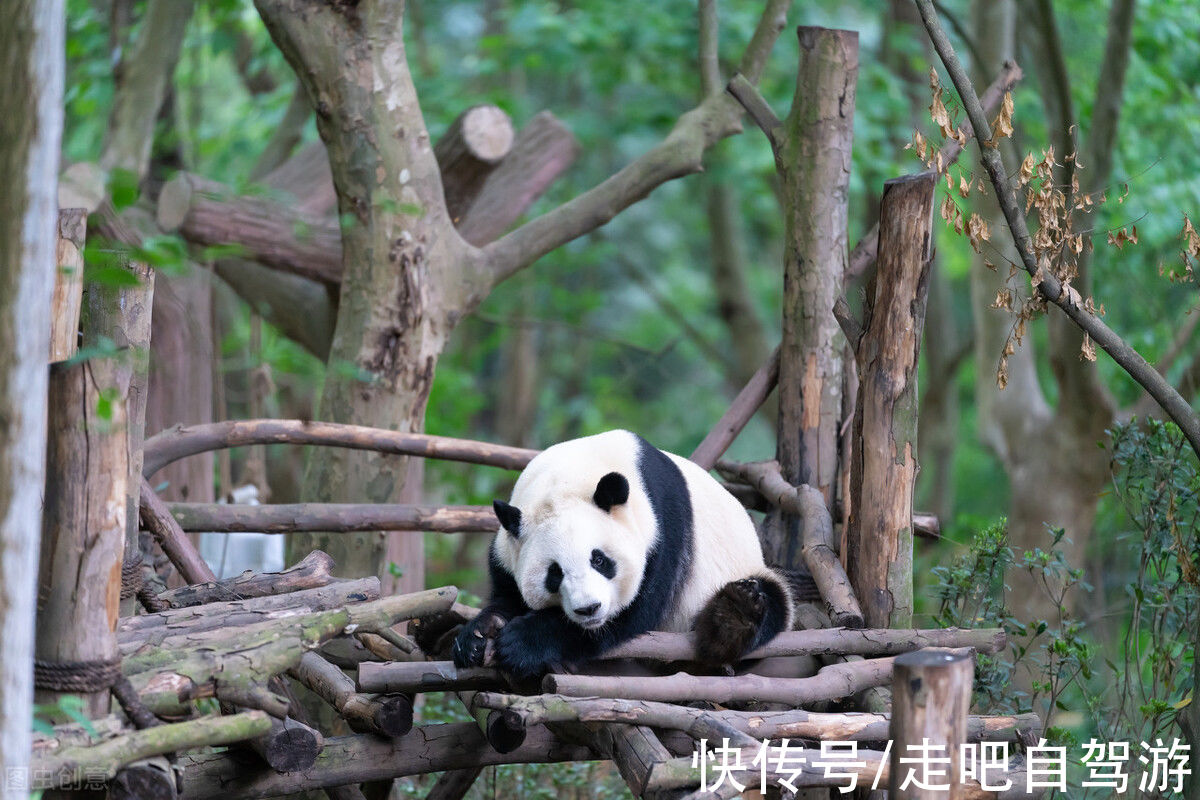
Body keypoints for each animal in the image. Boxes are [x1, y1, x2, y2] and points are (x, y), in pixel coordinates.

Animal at [453, 429, 792, 681]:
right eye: (554, 573)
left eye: (599, 560)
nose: (588, 609)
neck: (570, 475)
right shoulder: (508, 548)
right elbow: (507, 595)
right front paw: (478, 635)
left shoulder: (664, 533)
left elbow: (633, 613)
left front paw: (522, 643)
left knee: (771, 601)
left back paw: (735, 615)